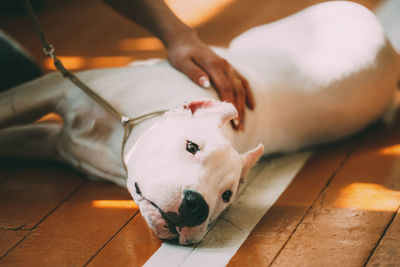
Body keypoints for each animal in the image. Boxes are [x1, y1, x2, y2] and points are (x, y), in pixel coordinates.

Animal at [0, 1, 400, 245]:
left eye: (227, 195)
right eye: (191, 146)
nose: (196, 206)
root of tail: (382, 36)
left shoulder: (52, 138)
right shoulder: (53, 92)